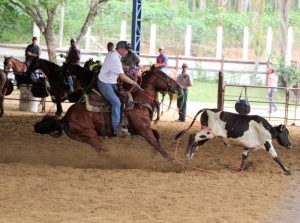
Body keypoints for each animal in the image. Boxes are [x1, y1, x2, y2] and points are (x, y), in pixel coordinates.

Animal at [34, 66, 182, 160]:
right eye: (163, 75)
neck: (138, 101)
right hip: (90, 135)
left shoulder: (141, 129)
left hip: (87, 138)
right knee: (104, 150)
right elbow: (157, 144)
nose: (178, 87)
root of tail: (64, 118)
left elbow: (157, 137)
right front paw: (172, 161)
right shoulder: (143, 130)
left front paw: (154, 154)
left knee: (101, 151)